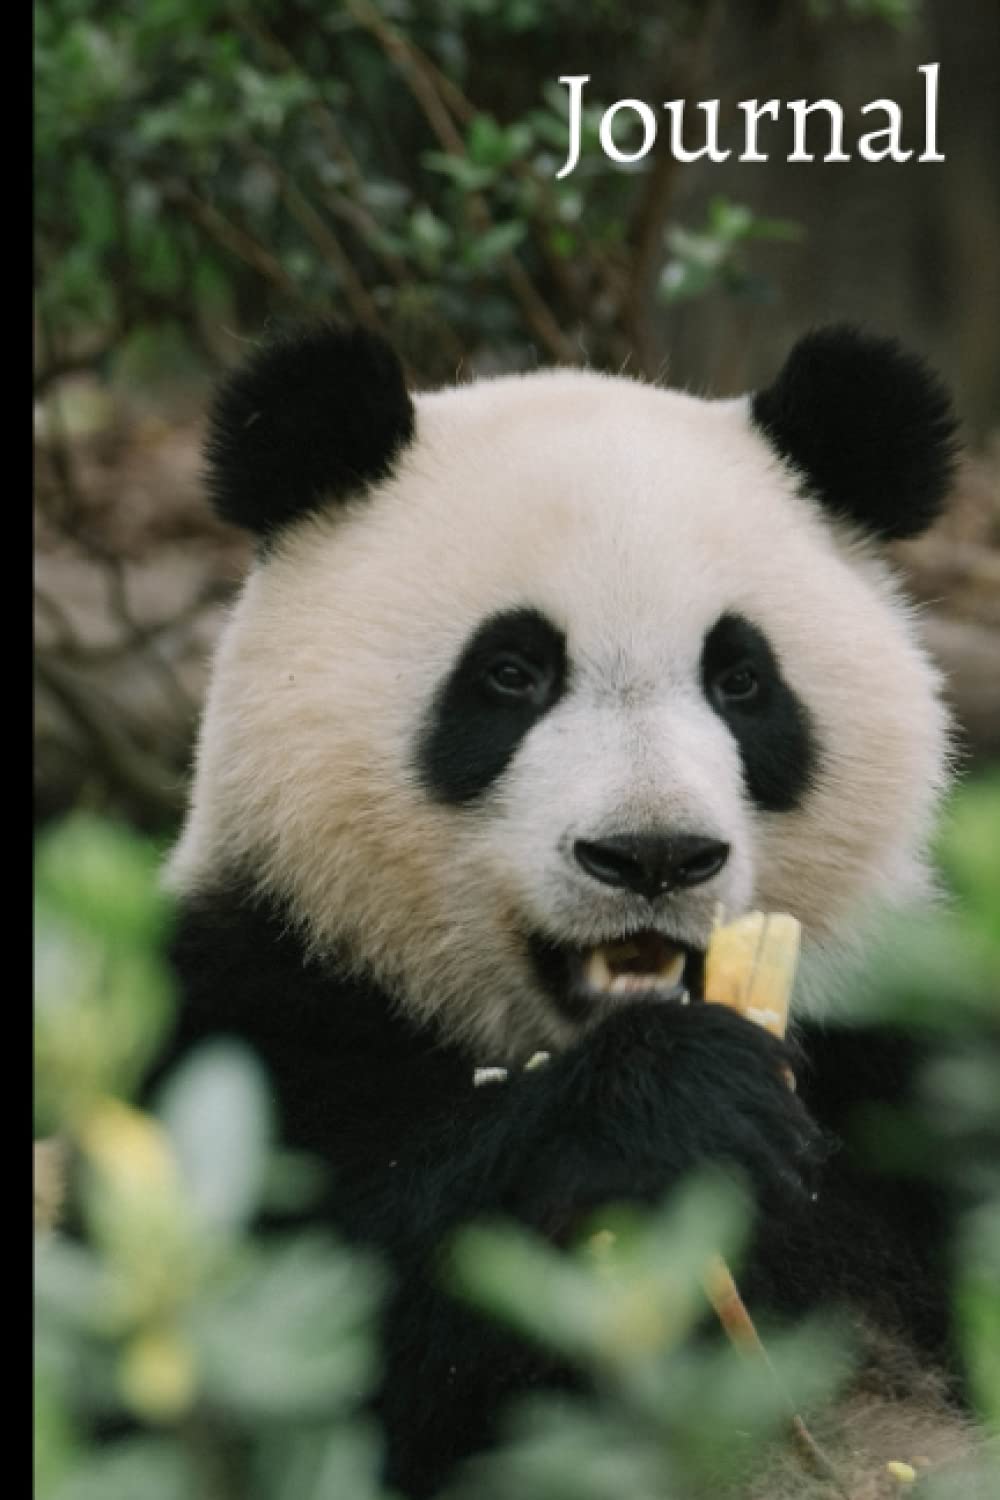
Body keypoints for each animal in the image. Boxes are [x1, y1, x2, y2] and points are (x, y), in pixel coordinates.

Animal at [161, 321, 974, 1496]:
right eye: (510, 673)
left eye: (740, 679)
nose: (653, 855)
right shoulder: (257, 1006)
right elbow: (284, 1347)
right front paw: (673, 1106)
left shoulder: (903, 1052)